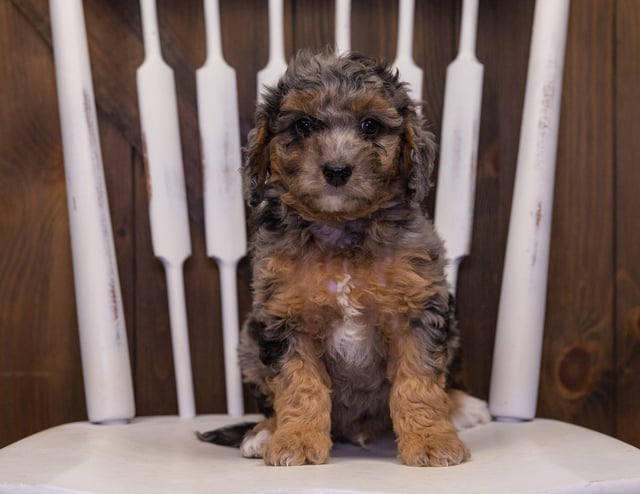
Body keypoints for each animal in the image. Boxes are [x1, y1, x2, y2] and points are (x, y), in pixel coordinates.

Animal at [200, 48, 490, 466]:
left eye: (370, 125)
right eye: (303, 125)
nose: (337, 171)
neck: (341, 232)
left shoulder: (419, 309)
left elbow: (419, 383)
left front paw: (431, 440)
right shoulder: (285, 317)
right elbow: (298, 384)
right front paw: (297, 440)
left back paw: (462, 406)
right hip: (248, 341)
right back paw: (264, 431)